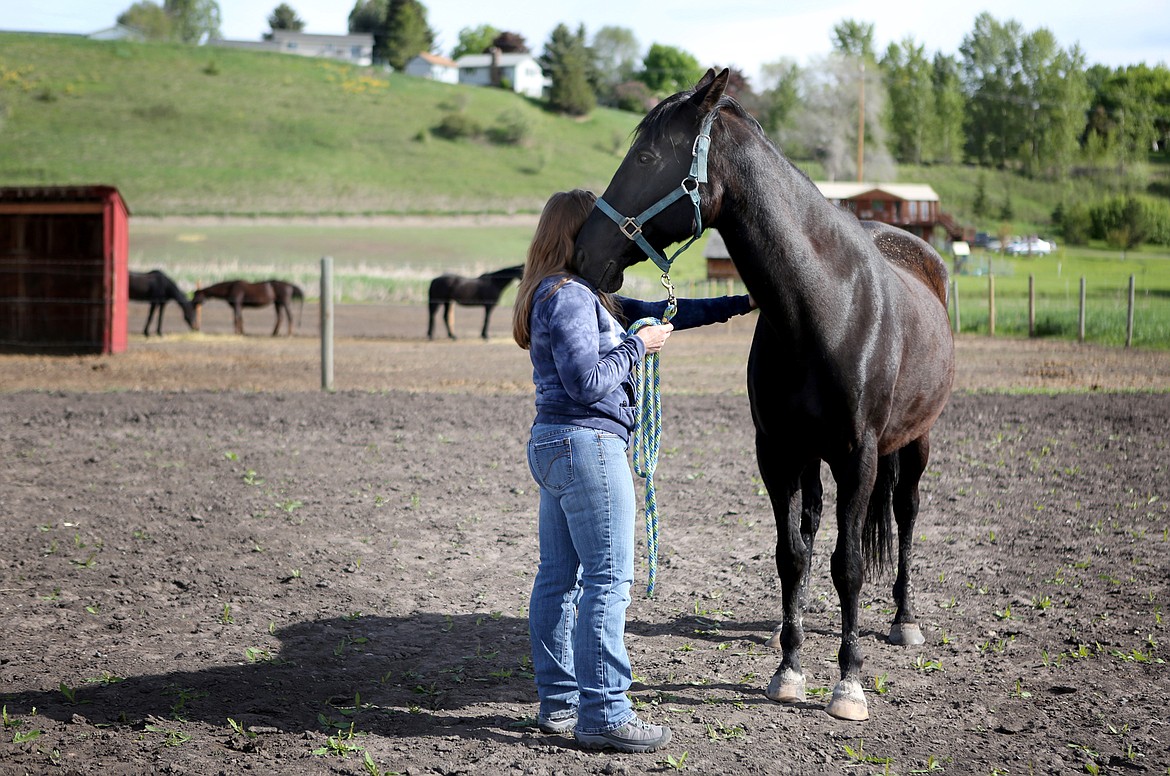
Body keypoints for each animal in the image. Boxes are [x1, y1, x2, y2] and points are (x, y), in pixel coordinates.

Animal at [570, 69, 954, 725]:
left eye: (646, 156)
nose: (588, 252)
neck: (824, 308)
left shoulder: (859, 455)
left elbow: (849, 566)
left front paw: (849, 683)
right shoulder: (776, 452)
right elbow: (791, 554)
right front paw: (789, 668)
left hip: (915, 442)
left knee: (905, 514)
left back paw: (904, 620)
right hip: (812, 457)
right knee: (814, 524)